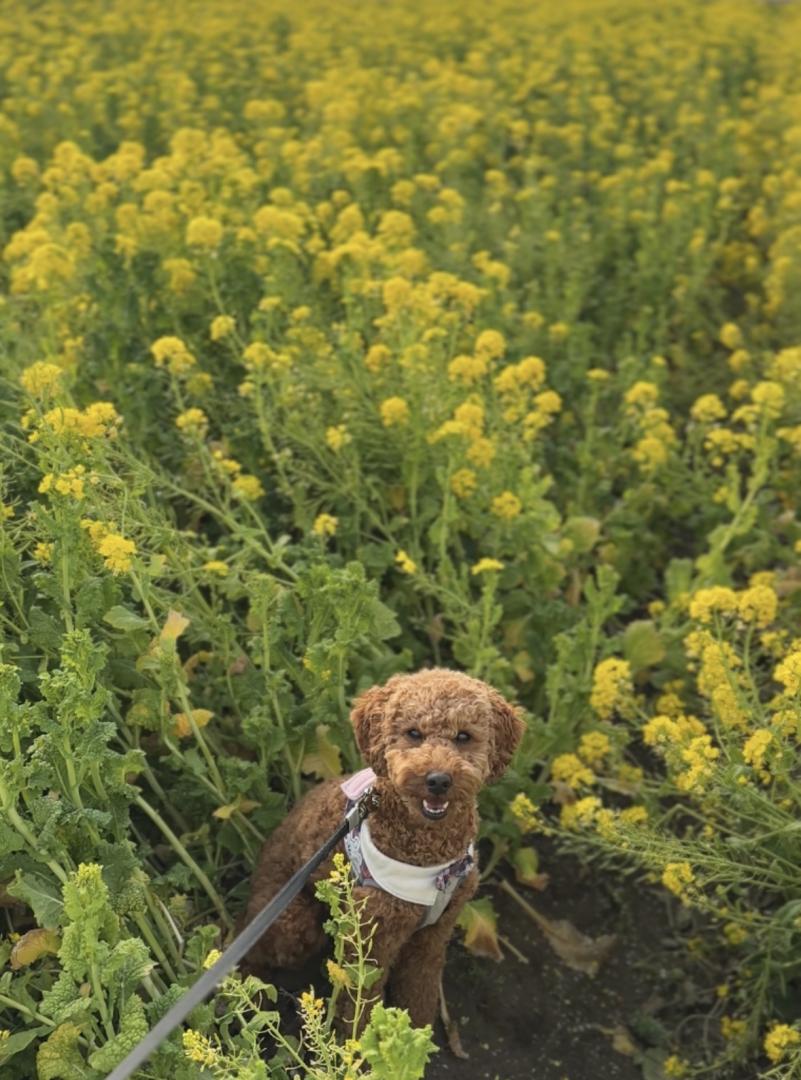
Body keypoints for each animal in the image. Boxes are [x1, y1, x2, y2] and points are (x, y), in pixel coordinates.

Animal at [241, 665, 524, 1028]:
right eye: (413, 733)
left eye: (464, 736)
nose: (438, 780)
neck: (429, 855)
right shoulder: (372, 940)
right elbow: (360, 1006)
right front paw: (364, 1044)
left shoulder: (434, 935)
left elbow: (419, 990)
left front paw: (416, 1035)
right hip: (293, 923)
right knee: (250, 948)